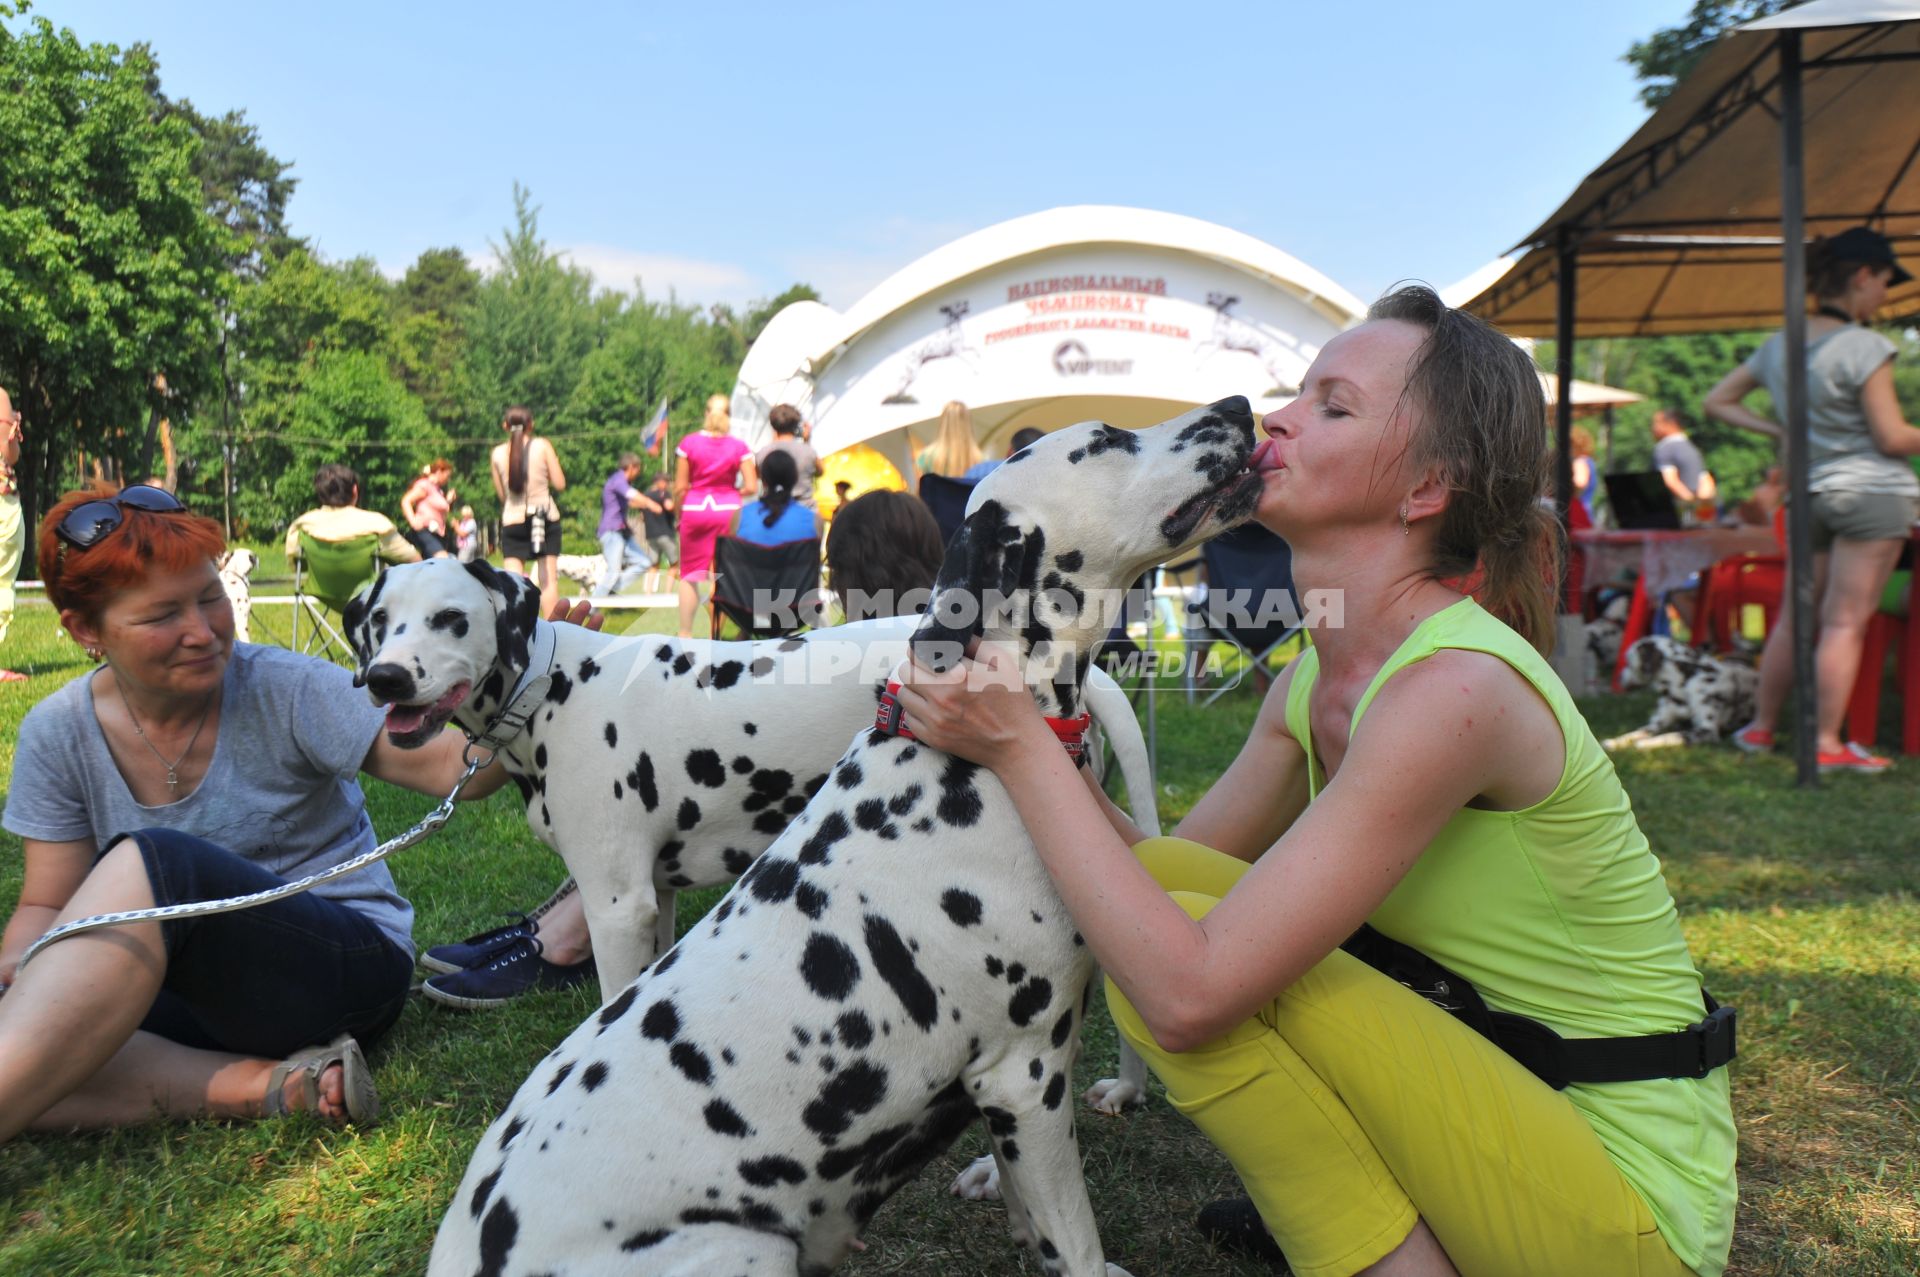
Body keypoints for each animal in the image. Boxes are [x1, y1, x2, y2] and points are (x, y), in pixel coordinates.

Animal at [433, 399, 1267, 1275]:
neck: (972, 768)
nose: (1240, 407)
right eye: (1106, 439)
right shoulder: (1025, 1074)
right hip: (742, 1246)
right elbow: (1069, 1237)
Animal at [1605, 633, 1758, 752]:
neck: (1681, 686)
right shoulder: (1657, 723)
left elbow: (1672, 735)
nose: (1618, 678)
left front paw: (1646, 743)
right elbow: (1634, 734)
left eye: (1628, 662)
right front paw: (1615, 742)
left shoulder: (1707, 730)